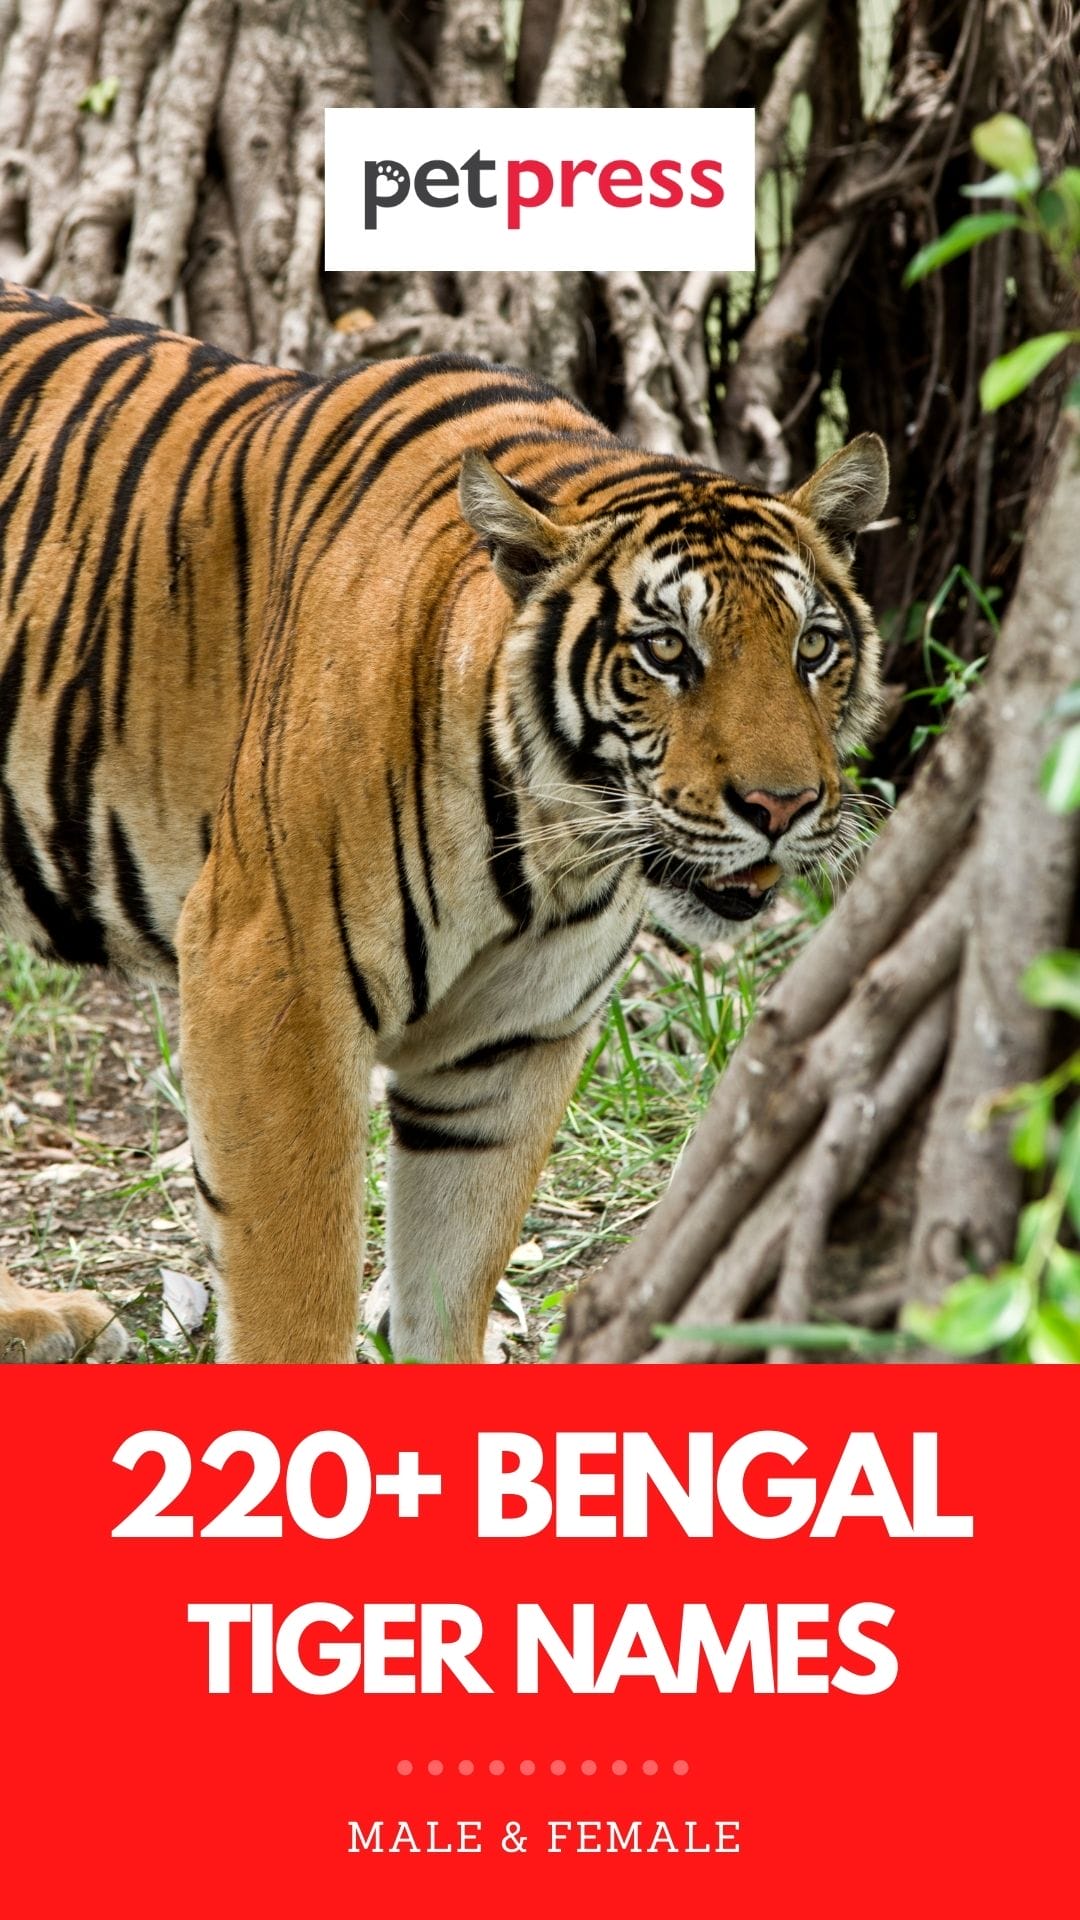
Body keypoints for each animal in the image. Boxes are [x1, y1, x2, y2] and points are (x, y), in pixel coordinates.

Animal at [0, 276, 888, 1364]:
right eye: (668, 651)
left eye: (814, 649)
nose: (781, 805)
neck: (550, 851)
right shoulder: (271, 980)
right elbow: (297, 1291)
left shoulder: (507, 1047)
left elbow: (451, 1278)